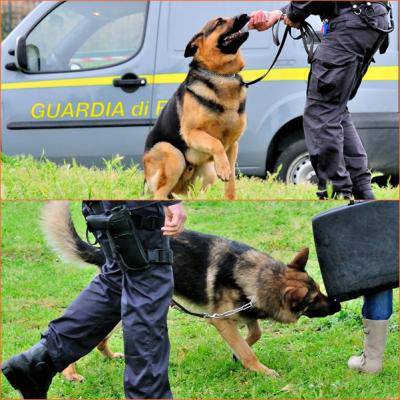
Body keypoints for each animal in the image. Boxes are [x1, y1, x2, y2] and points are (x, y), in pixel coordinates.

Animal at [41, 203, 340, 382]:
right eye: (314, 300)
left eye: (319, 291)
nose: (337, 304)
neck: (255, 276)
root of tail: (104, 253)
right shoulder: (221, 320)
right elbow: (247, 350)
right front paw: (259, 369)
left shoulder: (242, 313)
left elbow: (254, 334)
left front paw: (237, 354)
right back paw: (69, 373)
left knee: (98, 338)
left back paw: (110, 356)